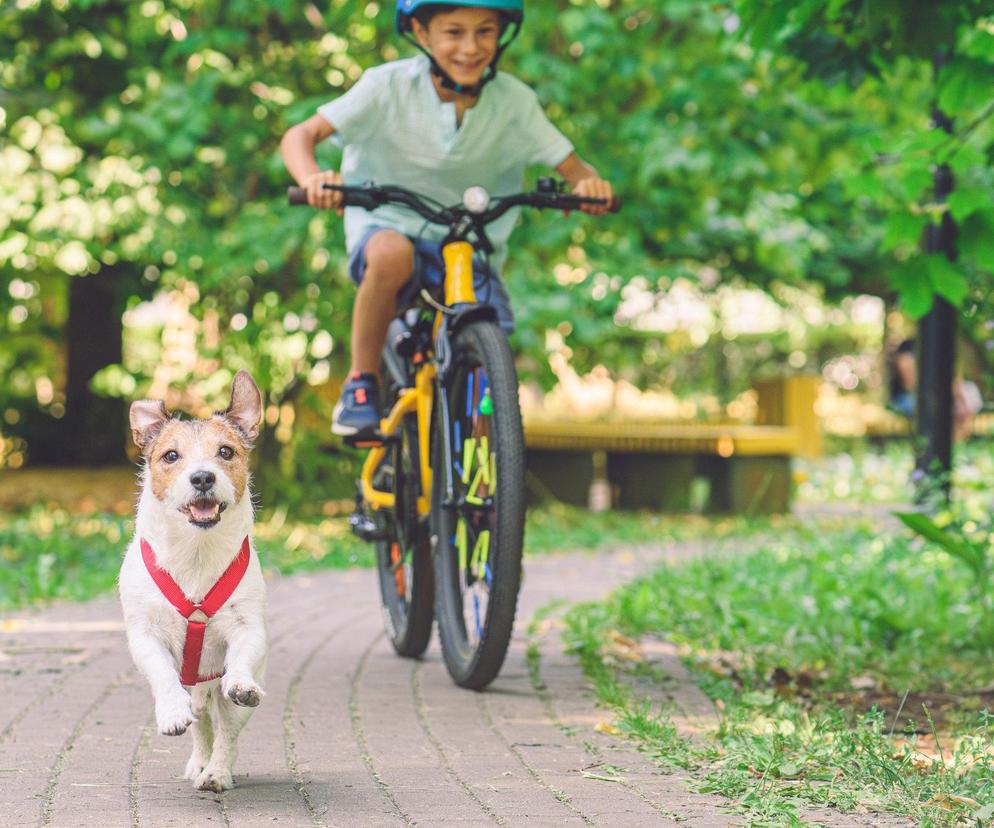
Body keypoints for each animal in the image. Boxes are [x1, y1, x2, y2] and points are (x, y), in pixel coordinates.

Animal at [119, 372, 268, 792]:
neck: (196, 553)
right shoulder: (145, 635)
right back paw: (199, 762)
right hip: (196, 690)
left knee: (227, 730)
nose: (202, 476)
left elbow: (242, 657)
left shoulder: (248, 627)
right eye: (171, 456)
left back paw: (216, 772)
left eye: (226, 452)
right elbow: (161, 671)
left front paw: (241, 683)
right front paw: (171, 710)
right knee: (201, 722)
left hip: (225, 693)